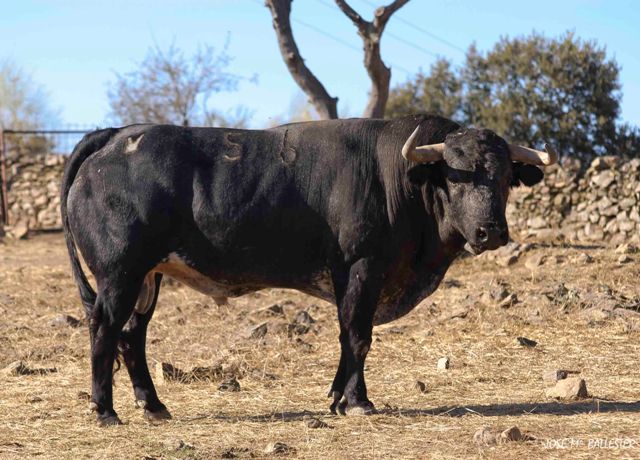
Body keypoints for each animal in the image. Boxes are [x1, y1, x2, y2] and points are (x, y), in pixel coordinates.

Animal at [61, 114, 544, 424]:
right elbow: (358, 335)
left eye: (506, 178)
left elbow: (348, 337)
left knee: (132, 336)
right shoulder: (363, 268)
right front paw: (358, 401)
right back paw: (105, 410)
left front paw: (336, 398)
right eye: (457, 175)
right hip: (119, 273)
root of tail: (117, 134)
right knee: (105, 327)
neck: (397, 179)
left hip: (149, 276)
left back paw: (154, 406)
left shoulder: (351, 277)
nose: (491, 231)